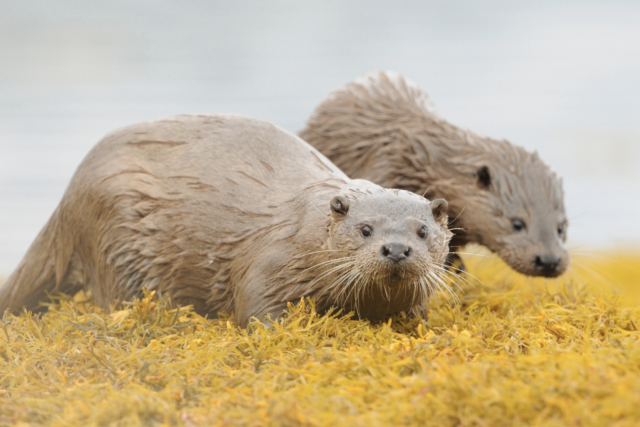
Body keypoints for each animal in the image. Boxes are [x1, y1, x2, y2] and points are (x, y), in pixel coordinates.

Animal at [0, 113, 452, 328]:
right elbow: (255, 309)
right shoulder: (272, 262)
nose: (396, 249)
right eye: (365, 229)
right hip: (115, 227)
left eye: (422, 231)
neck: (307, 236)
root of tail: (68, 199)